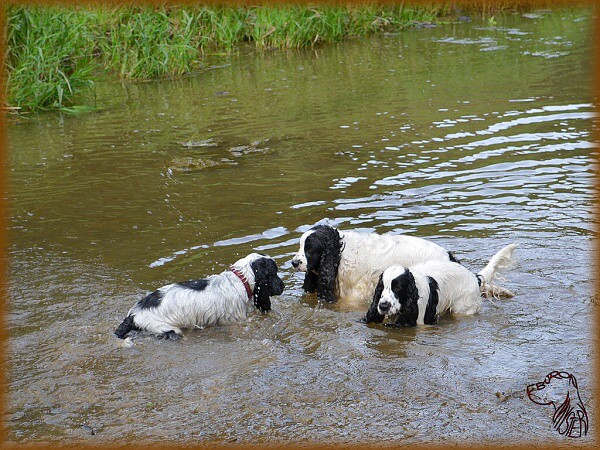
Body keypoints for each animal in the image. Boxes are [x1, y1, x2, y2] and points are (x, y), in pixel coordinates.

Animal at [118, 253, 288, 342]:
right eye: (274, 272)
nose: (283, 286)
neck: (240, 280)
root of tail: (133, 314)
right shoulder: (235, 320)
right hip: (165, 328)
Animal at [290, 224, 454, 306]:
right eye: (300, 246)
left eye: (309, 249)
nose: (294, 262)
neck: (339, 254)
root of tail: (449, 256)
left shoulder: (354, 297)